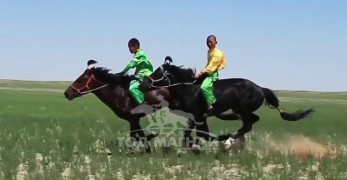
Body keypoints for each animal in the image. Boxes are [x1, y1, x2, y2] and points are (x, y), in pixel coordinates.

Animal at [142, 56, 316, 142]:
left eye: (158, 72)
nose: (144, 83)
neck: (190, 88)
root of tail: (260, 88)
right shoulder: (196, 116)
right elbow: (191, 133)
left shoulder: (199, 115)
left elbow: (202, 134)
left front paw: (222, 137)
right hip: (240, 109)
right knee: (252, 120)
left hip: (243, 109)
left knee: (248, 124)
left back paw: (230, 138)